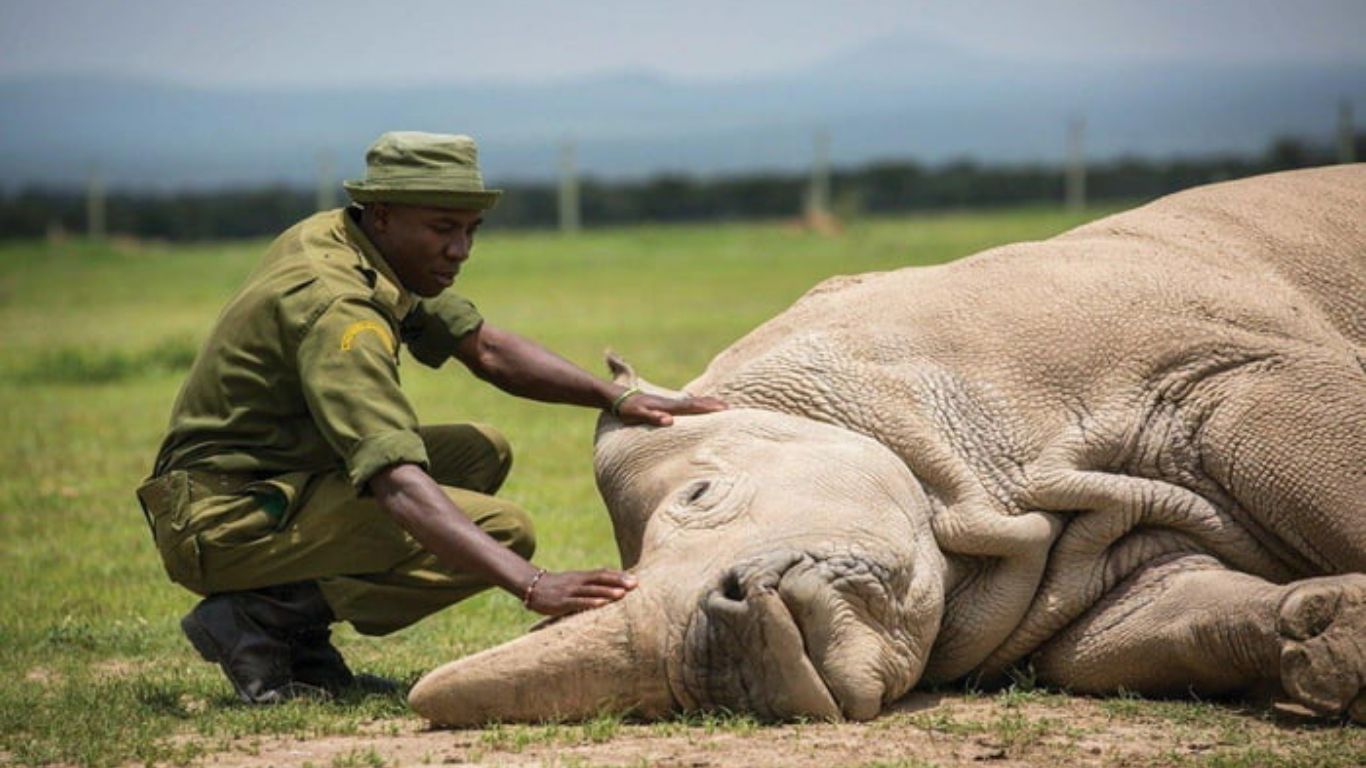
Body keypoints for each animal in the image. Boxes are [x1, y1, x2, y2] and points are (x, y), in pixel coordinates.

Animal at [409, 165, 1365, 726]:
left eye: (701, 497)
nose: (723, 666)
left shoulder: (1226, 371)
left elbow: (1336, 478)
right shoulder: (1099, 568)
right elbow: (1170, 619)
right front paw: (1331, 642)